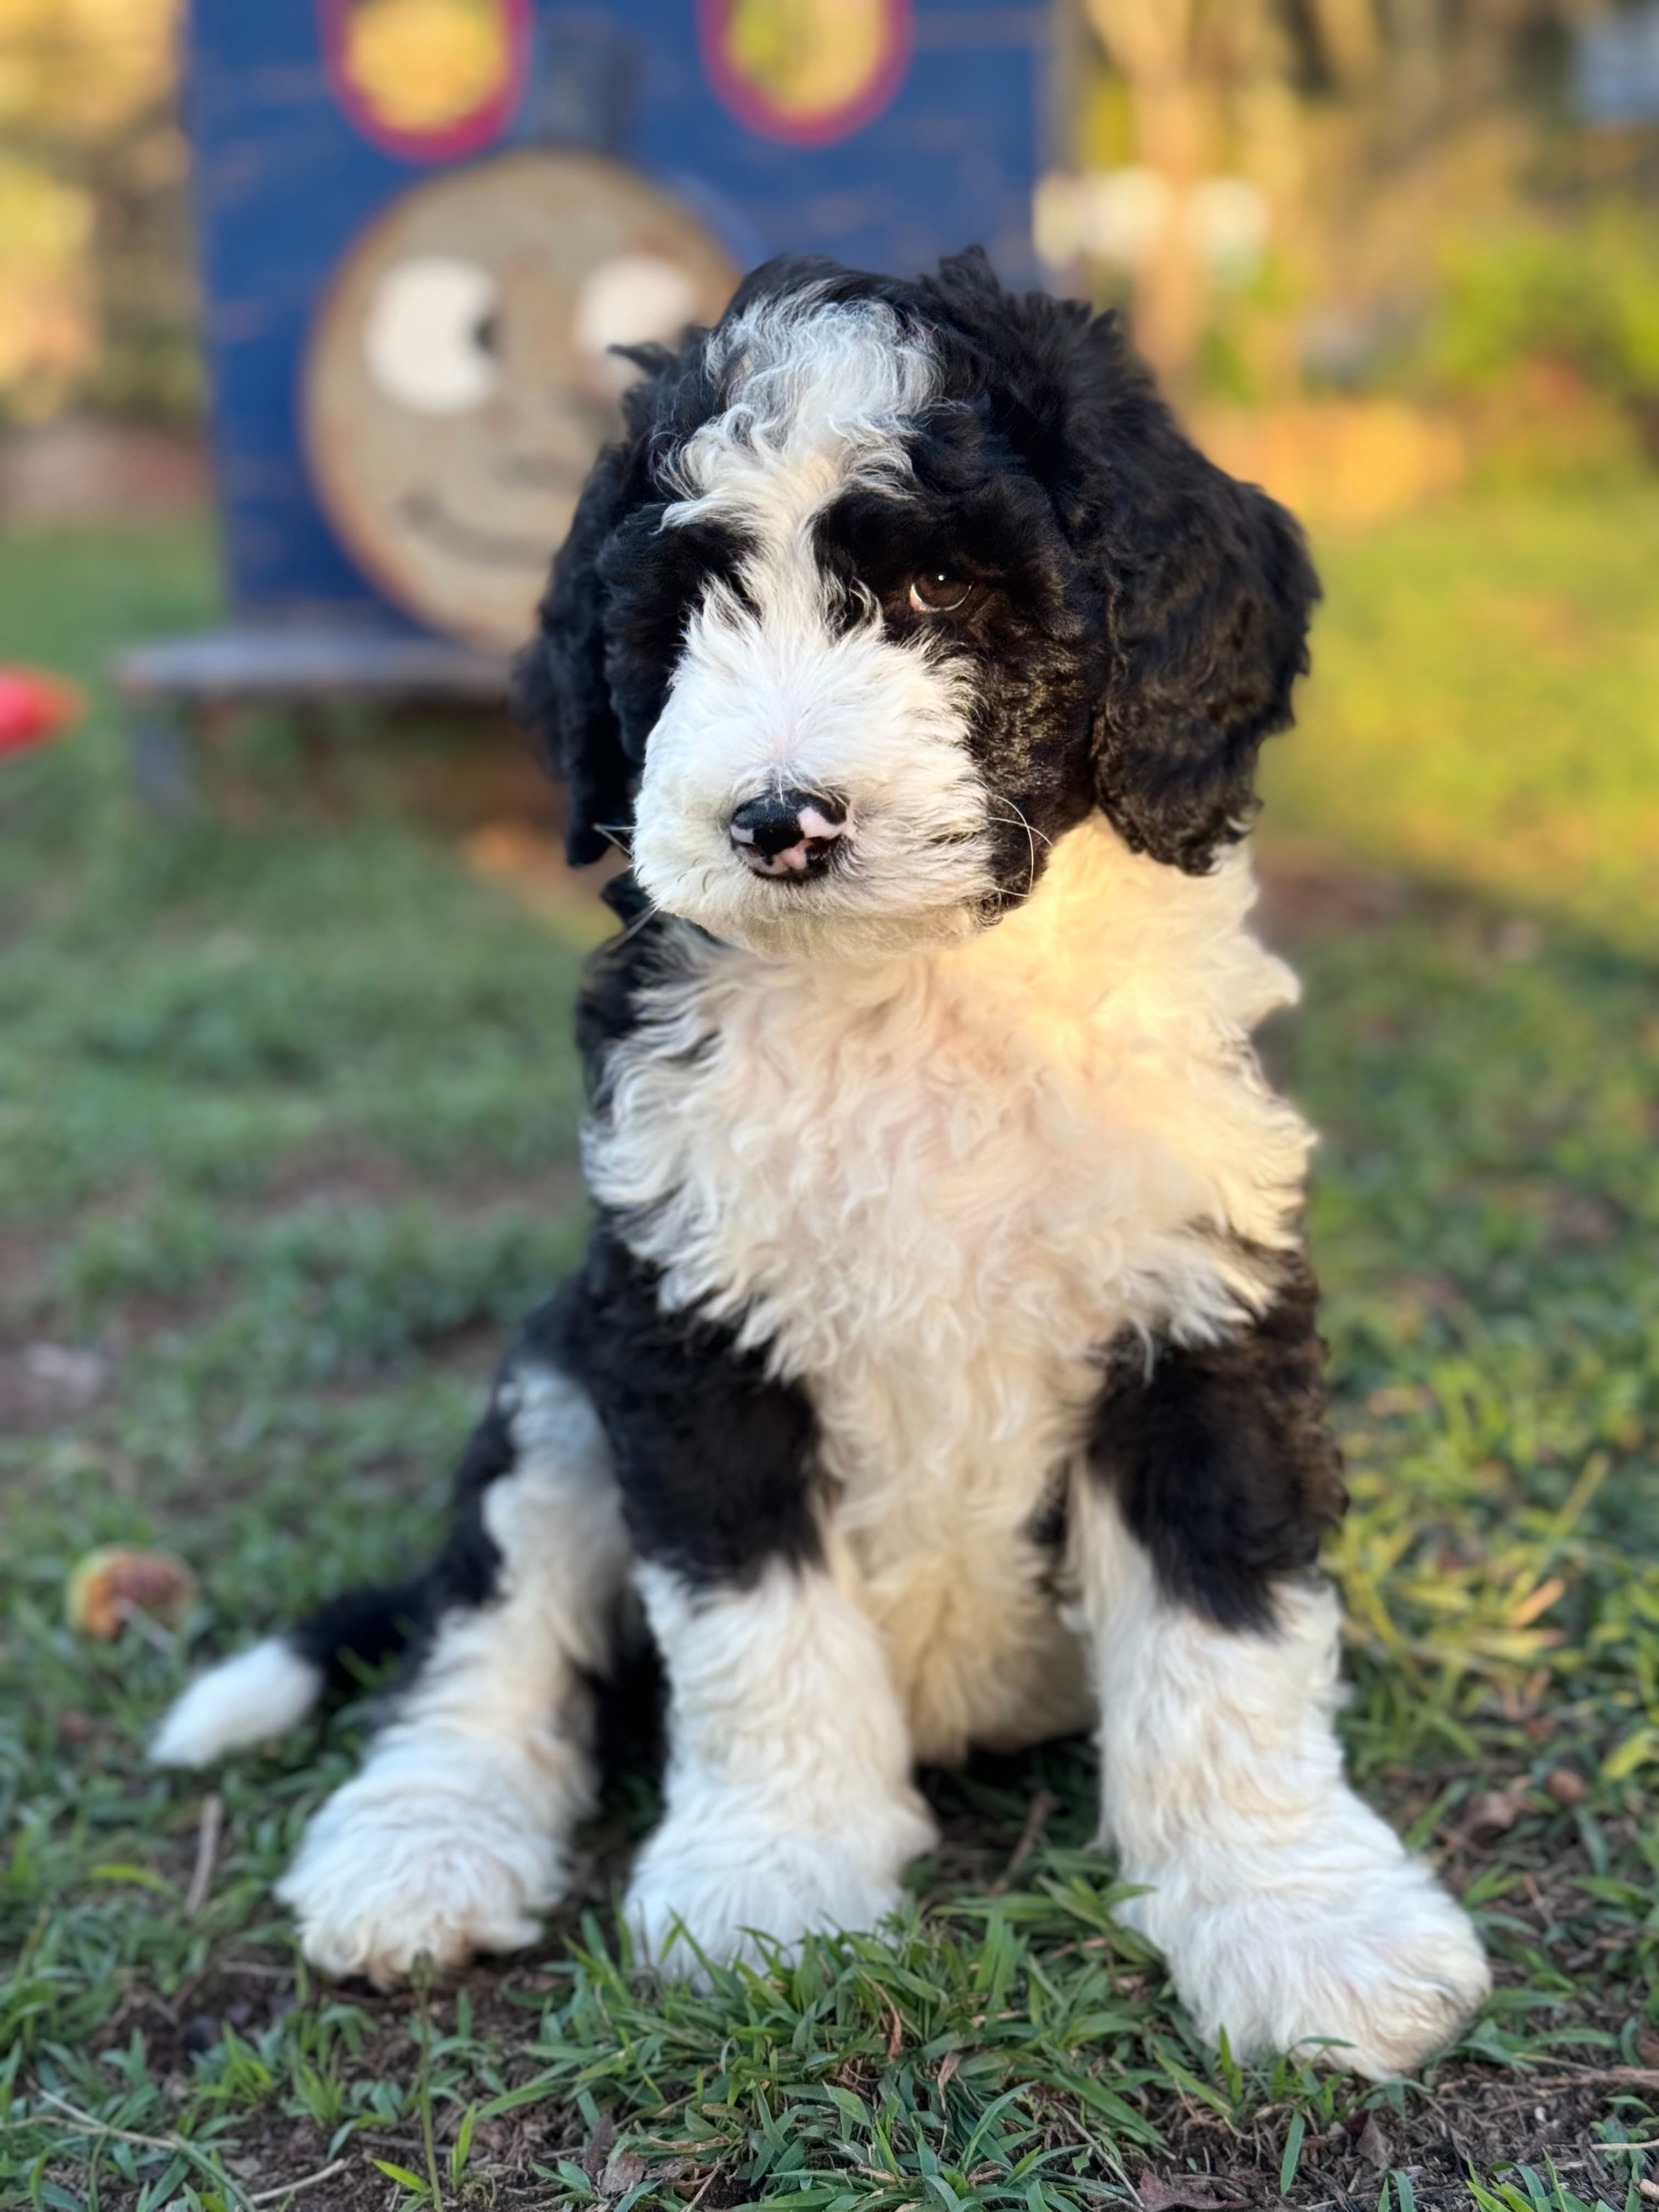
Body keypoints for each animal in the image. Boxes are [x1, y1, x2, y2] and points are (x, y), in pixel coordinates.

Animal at [156, 251, 1495, 2079]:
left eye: (937, 583)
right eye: (684, 613)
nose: (780, 822)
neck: (919, 991)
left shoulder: (1200, 1308)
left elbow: (1232, 1630)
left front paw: (1301, 1919)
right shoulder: (687, 1325)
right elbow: (754, 1625)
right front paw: (771, 1884)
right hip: (557, 1380)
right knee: (490, 1635)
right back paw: (420, 1848)